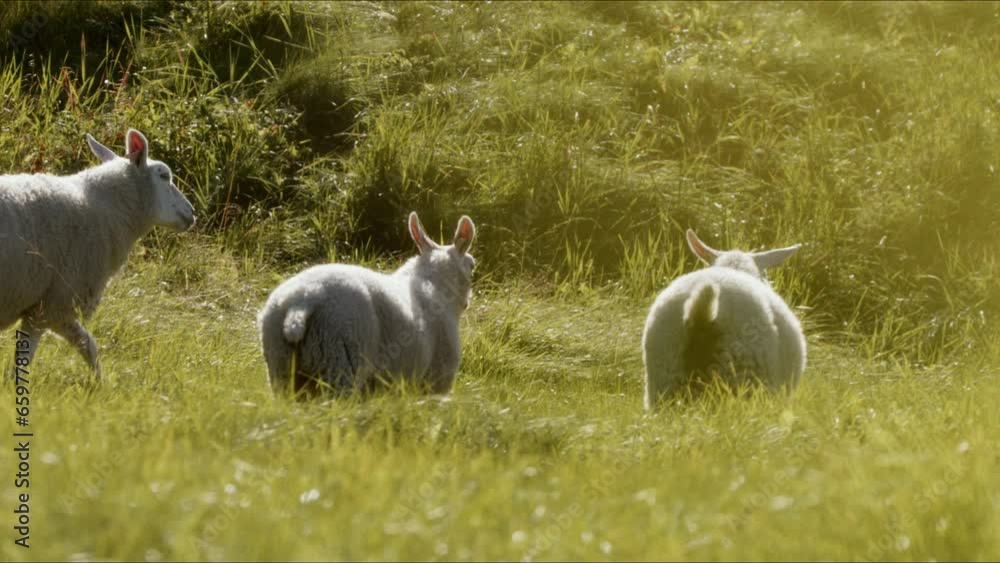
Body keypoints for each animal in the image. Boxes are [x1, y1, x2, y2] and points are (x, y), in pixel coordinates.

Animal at [1, 128, 196, 379]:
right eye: (164, 175)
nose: (192, 213)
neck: (104, 210)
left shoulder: (50, 305)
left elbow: (86, 343)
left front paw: (98, 381)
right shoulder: (55, 303)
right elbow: (40, 354)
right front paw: (99, 382)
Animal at [258, 211, 477, 399]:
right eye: (473, 266)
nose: (467, 303)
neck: (435, 284)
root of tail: (303, 300)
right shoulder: (436, 380)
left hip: (281, 365)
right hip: (341, 360)